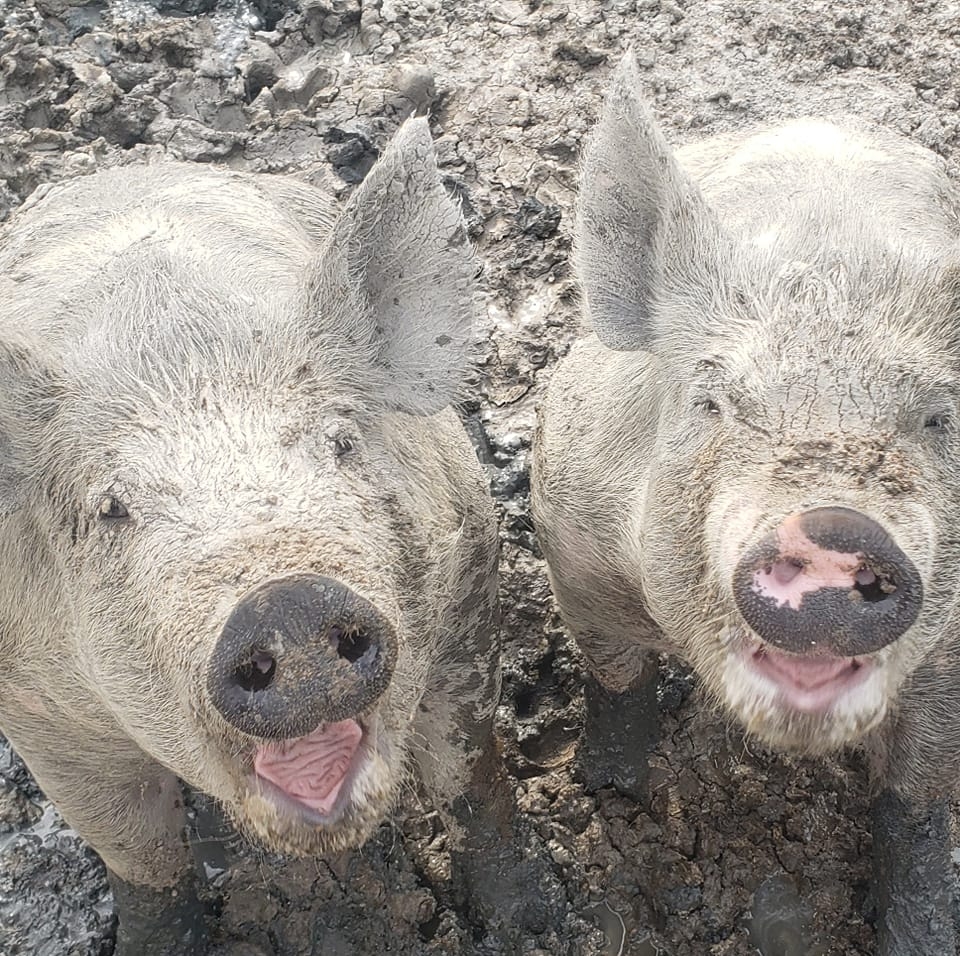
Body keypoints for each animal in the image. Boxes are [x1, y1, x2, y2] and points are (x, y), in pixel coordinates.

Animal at [0, 118, 523, 954]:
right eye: (112, 508)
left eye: (340, 441)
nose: (288, 602)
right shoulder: (39, 713)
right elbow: (138, 855)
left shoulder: (467, 587)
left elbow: (470, 772)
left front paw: (531, 920)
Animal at [532, 53, 960, 954]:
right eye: (713, 402)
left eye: (937, 418)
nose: (834, 525)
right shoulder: (570, 544)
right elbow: (615, 678)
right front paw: (609, 790)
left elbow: (917, 801)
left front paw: (919, 935)